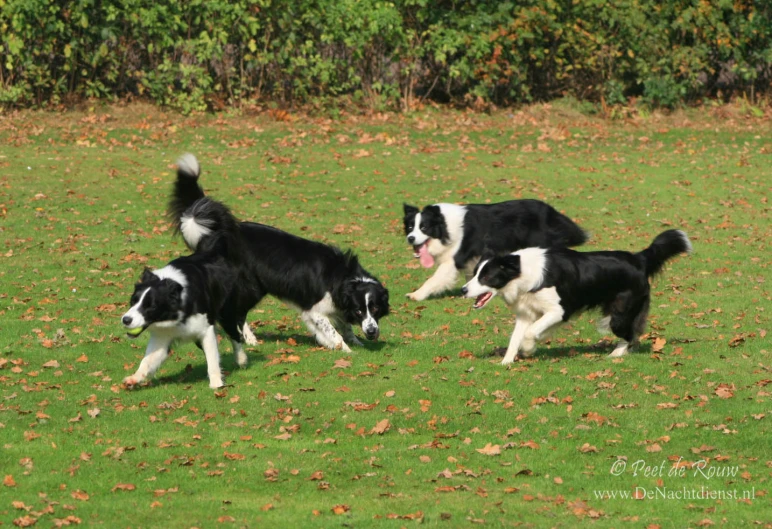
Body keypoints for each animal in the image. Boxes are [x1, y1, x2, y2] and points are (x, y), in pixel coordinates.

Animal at [120, 198, 243, 388]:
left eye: (150, 306)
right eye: (133, 301)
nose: (125, 320)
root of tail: (210, 251)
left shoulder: (206, 329)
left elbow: (212, 360)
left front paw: (216, 385)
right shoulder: (162, 336)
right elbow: (147, 360)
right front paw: (135, 377)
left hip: (226, 311)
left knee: (235, 334)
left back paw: (242, 359)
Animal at [404, 199, 584, 300]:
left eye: (424, 227)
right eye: (411, 227)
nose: (410, 238)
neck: (444, 226)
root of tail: (550, 210)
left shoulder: (454, 259)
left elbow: (434, 278)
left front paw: (416, 295)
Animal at [462, 230, 692, 364]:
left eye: (486, 277)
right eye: (474, 273)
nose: (463, 290)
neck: (521, 271)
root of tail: (639, 259)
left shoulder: (559, 310)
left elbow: (530, 332)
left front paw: (528, 349)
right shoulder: (526, 313)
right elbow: (517, 336)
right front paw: (508, 361)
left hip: (617, 315)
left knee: (630, 334)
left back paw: (616, 354)